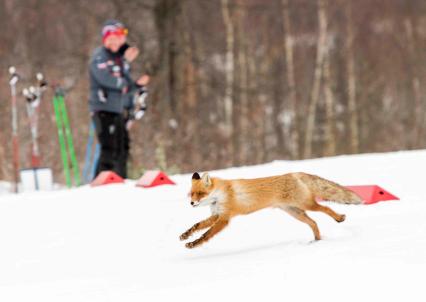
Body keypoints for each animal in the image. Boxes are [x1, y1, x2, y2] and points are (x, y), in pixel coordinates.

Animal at [180, 171, 362, 249]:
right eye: (191, 193)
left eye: (200, 193)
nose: (191, 203)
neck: (219, 196)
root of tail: (295, 173)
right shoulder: (216, 214)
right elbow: (196, 226)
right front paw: (185, 236)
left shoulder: (224, 218)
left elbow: (206, 234)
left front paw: (193, 244)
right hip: (295, 212)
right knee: (314, 223)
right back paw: (317, 241)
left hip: (306, 205)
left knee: (325, 208)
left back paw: (339, 218)